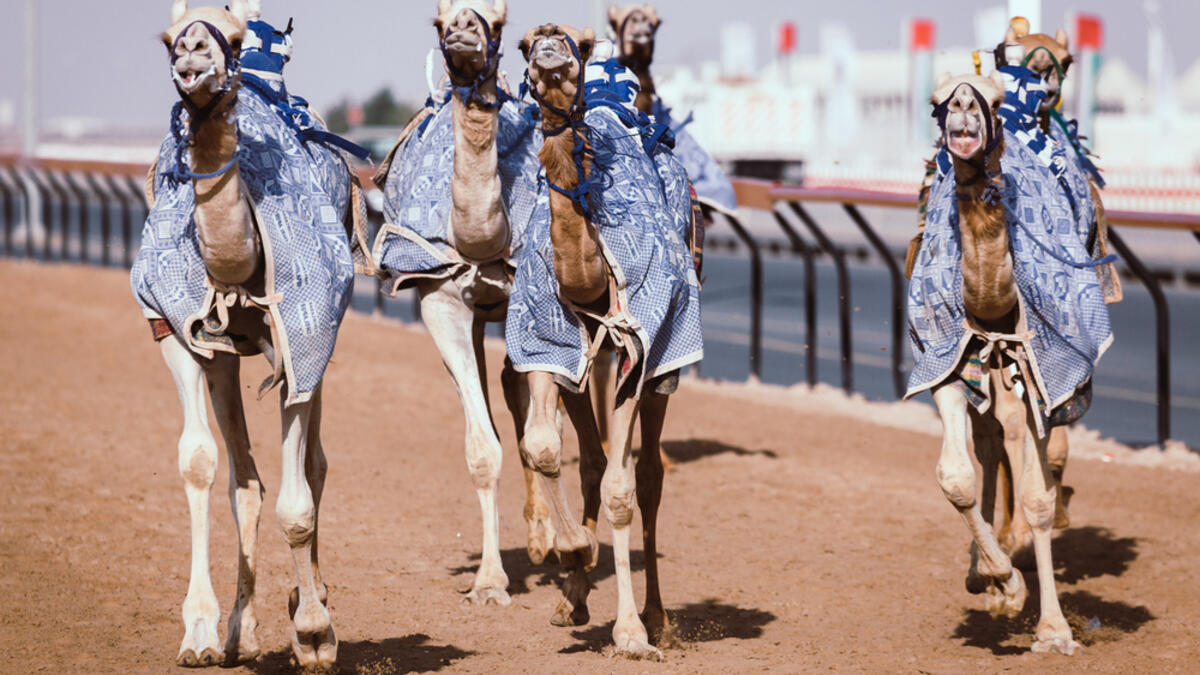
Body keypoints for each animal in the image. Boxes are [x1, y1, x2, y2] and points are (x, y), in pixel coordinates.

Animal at [131, 0, 362, 667]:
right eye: (168, 38)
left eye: (233, 38)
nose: (192, 58)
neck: (238, 266)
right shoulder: (177, 331)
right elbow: (201, 464)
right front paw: (202, 633)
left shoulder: (303, 337)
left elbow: (297, 500)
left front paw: (313, 634)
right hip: (225, 357)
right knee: (246, 478)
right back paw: (244, 629)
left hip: (321, 344)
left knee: (313, 464)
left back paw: (311, 602)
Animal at [371, 0, 555, 606]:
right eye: (437, 19)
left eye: (498, 21)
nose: (461, 33)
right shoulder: (442, 302)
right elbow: (484, 449)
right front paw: (491, 582)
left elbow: (546, 433)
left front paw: (576, 548)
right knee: (509, 388)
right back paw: (541, 538)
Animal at [509, 23, 705, 658]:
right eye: (524, 43)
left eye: (584, 42)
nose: (551, 50)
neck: (589, 277)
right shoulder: (548, 346)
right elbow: (546, 447)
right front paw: (573, 553)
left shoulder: (636, 355)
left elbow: (623, 487)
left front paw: (632, 633)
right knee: (592, 461)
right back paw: (573, 595)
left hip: (662, 366)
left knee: (648, 478)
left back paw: (658, 616)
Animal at [913, 71, 1101, 654]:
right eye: (937, 100)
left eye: (996, 100)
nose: (963, 107)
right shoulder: (950, 363)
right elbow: (955, 476)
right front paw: (1003, 582)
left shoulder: (1043, 370)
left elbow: (1039, 496)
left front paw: (1053, 629)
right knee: (991, 440)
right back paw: (988, 573)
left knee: (1022, 445)